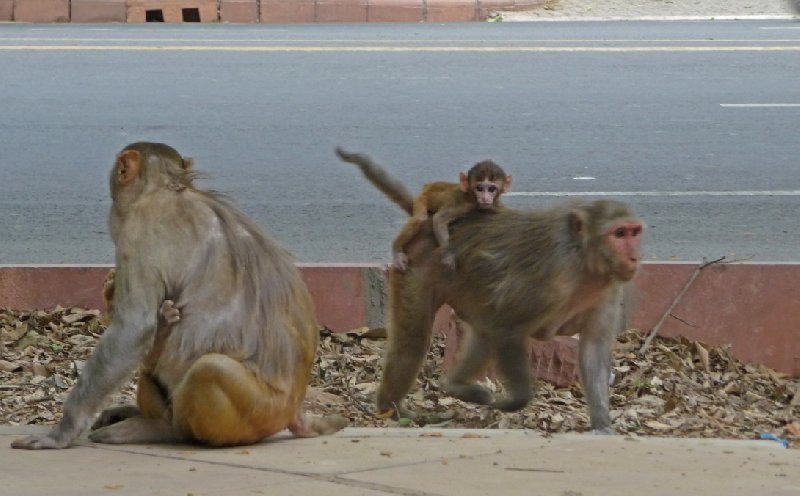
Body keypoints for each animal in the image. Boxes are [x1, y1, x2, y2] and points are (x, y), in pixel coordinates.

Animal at [12, 143, 344, 450]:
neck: (167, 185)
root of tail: (293, 407)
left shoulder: (137, 233)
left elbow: (133, 331)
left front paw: (61, 433)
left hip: (260, 413)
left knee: (209, 370)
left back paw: (163, 429)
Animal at [336, 147, 512, 270]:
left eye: (491, 189)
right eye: (480, 188)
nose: (485, 198)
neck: (473, 199)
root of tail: (426, 188)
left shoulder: (496, 205)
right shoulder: (463, 203)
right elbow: (440, 219)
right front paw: (448, 256)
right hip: (423, 199)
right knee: (420, 218)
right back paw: (396, 249)